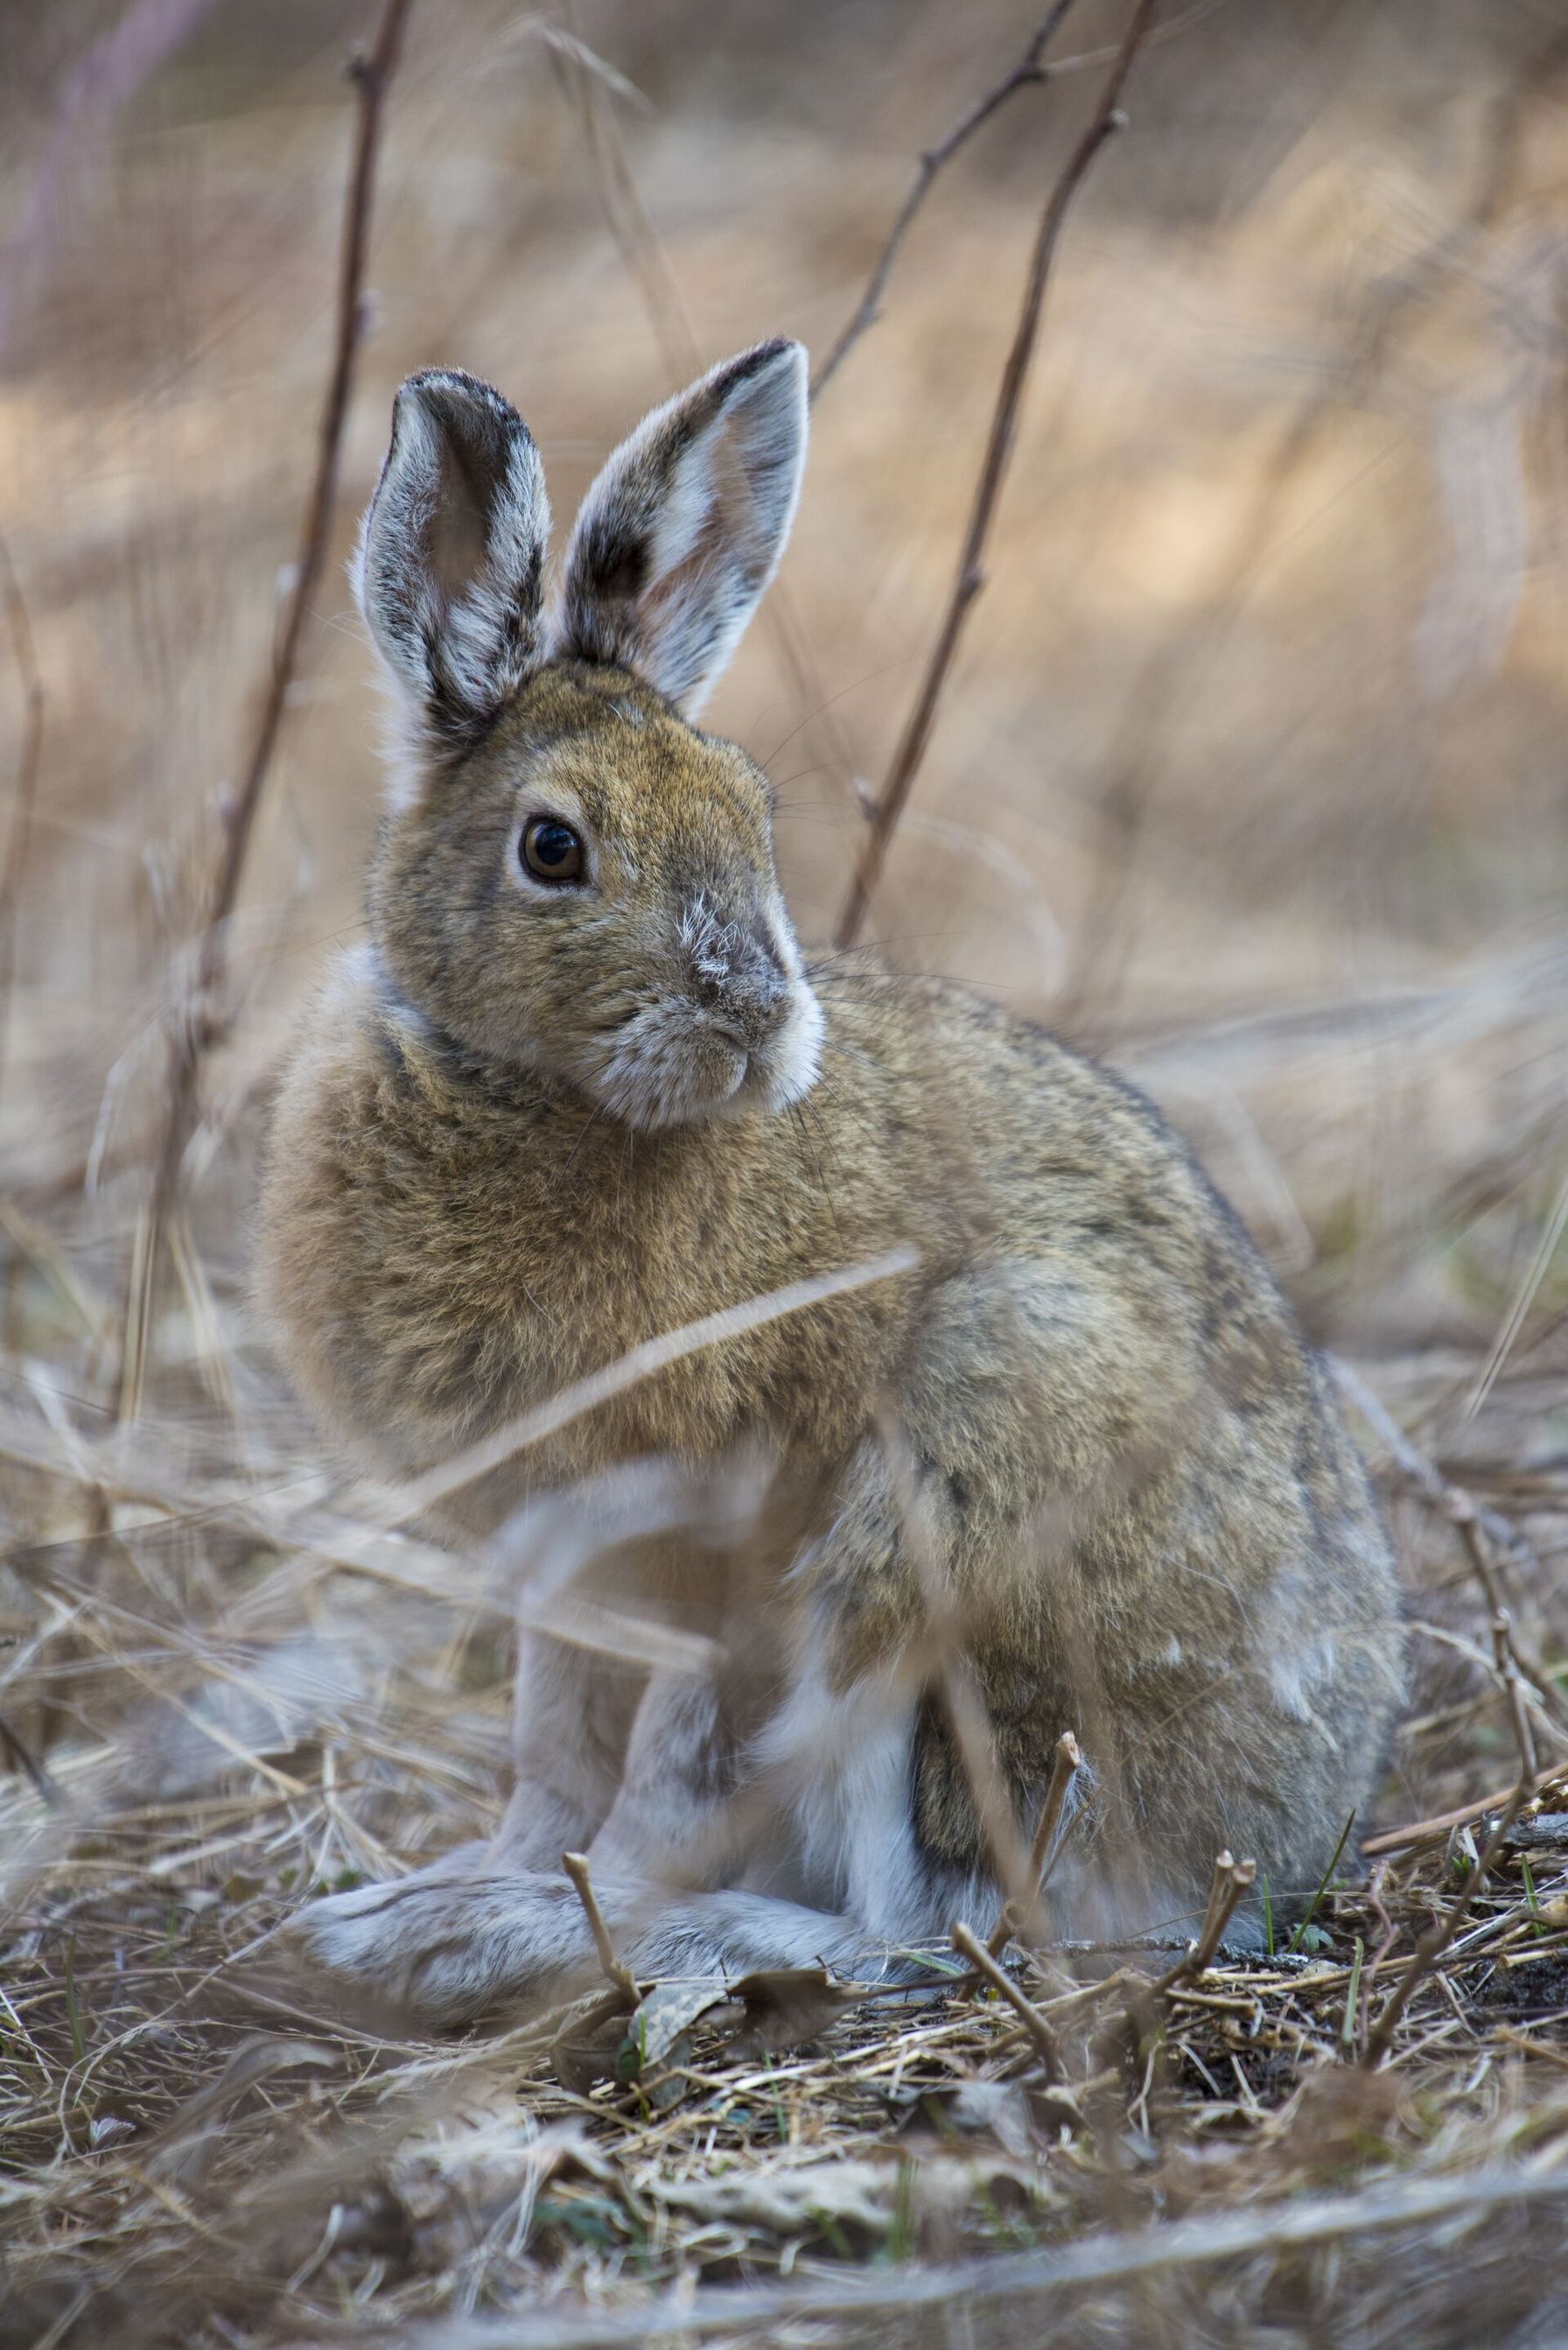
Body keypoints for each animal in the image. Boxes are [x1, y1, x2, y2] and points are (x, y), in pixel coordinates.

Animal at [257, 337, 1406, 2027]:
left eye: (755, 820)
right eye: (553, 850)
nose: (755, 1011)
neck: (532, 1097)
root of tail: (1284, 1839)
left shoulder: (721, 1550)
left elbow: (661, 1783)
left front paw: (519, 1916)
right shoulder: (563, 1572)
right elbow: (552, 1757)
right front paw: (468, 1881)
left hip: (956, 1505)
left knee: (931, 1931)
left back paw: (621, 1945)